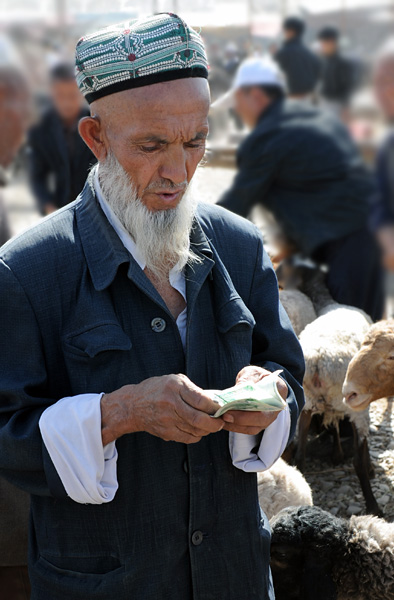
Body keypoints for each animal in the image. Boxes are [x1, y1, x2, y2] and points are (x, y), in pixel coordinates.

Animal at [276, 262, 380, 516]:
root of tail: (317, 361)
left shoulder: (325, 405)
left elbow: (332, 425)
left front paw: (335, 454)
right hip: (354, 405)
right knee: (357, 460)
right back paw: (373, 504)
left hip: (307, 403)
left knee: (300, 456)